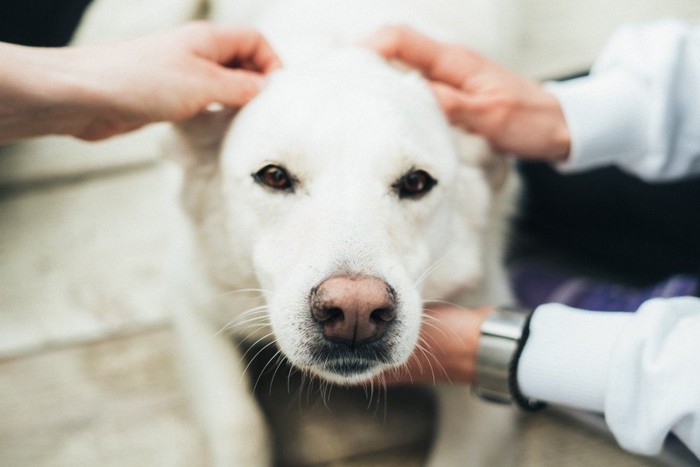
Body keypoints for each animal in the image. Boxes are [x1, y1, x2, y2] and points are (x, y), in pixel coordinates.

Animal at [167, 1, 516, 466]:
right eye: (274, 176)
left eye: (416, 182)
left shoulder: (485, 402)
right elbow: (237, 421)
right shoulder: (193, 300)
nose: (355, 311)